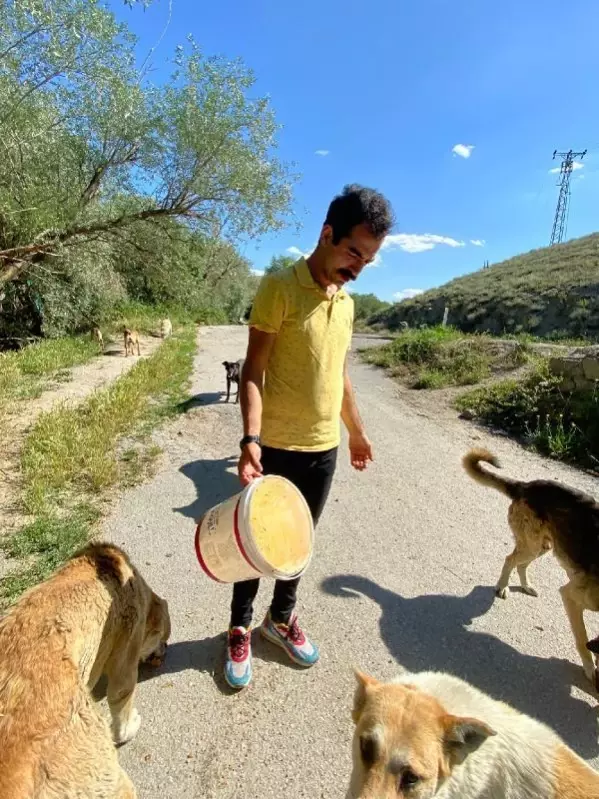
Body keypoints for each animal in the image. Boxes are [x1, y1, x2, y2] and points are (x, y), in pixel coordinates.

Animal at [0, 540, 171, 796]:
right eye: (162, 638)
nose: (165, 650)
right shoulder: (129, 641)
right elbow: (121, 698)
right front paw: (129, 726)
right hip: (106, 772)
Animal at [464, 446, 599, 684]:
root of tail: (525, 485)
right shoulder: (571, 597)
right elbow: (582, 638)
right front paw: (590, 669)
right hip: (533, 545)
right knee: (510, 559)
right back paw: (502, 587)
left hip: (542, 546)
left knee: (521, 564)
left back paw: (526, 586)